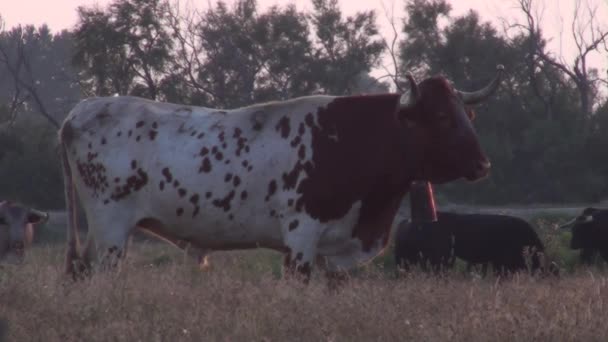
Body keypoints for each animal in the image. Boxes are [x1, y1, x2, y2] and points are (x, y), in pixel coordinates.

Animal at [58, 65, 504, 280]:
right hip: (111, 227)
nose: (483, 164)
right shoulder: (301, 238)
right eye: (443, 118)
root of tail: (80, 111)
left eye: (467, 115)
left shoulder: (333, 251)